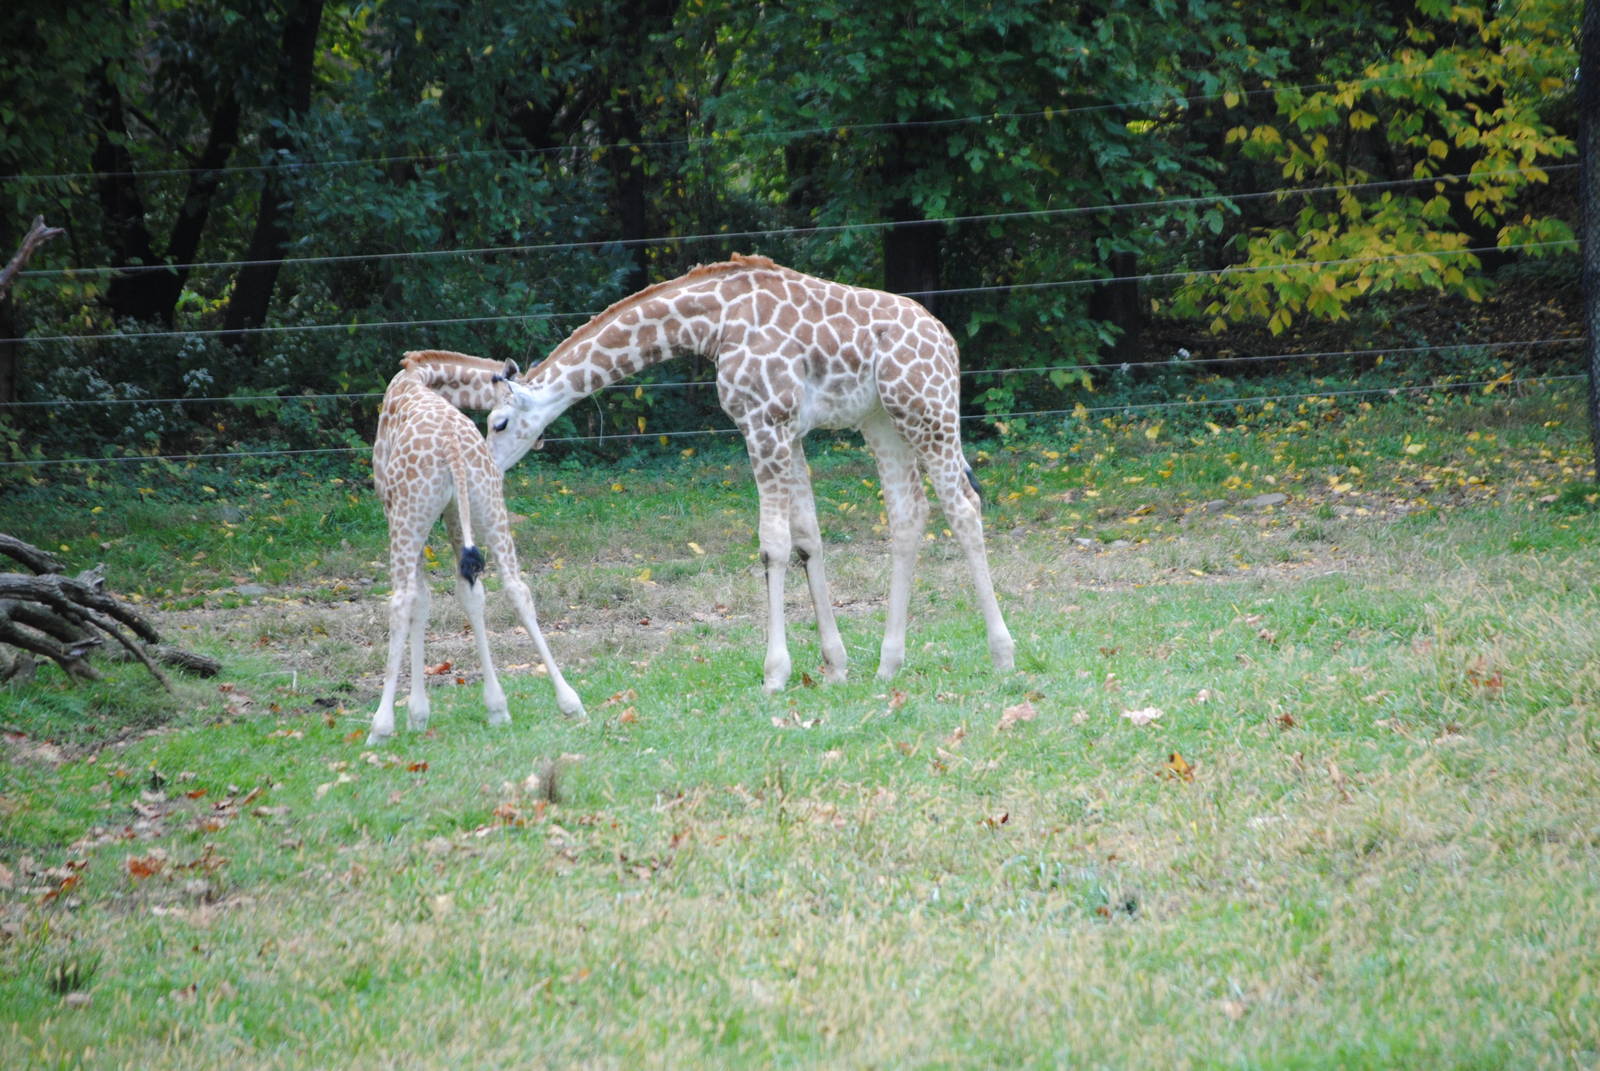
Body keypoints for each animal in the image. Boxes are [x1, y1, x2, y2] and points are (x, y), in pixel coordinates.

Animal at [367, 350, 584, 744]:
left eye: (500, 421)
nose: (542, 439)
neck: (420, 375)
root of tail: (452, 447)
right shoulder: (454, 513)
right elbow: (470, 594)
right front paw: (496, 706)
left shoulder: (400, 511)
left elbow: (420, 600)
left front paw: (417, 714)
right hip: (489, 503)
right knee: (516, 587)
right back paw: (569, 702)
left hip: (408, 515)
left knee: (400, 600)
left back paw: (379, 727)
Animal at [482, 253, 1015, 691]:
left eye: (498, 422)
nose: (488, 469)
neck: (711, 323)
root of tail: (948, 342)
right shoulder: (790, 430)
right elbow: (807, 538)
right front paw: (836, 666)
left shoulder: (763, 421)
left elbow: (772, 544)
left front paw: (775, 674)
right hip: (882, 419)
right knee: (909, 514)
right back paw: (888, 666)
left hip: (927, 410)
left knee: (964, 506)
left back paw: (1003, 656)